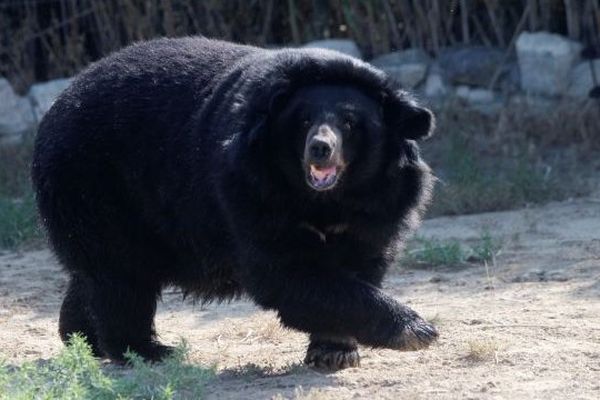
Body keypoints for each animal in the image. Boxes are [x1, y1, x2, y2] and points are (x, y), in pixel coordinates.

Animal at [31, 37, 436, 372]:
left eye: (350, 122)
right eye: (303, 120)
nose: (320, 148)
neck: (326, 199)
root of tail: (56, 106)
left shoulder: (381, 203)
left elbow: (362, 262)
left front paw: (334, 351)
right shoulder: (250, 191)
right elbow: (287, 272)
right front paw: (417, 329)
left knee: (95, 274)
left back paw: (83, 338)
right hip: (96, 185)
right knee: (121, 275)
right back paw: (145, 350)